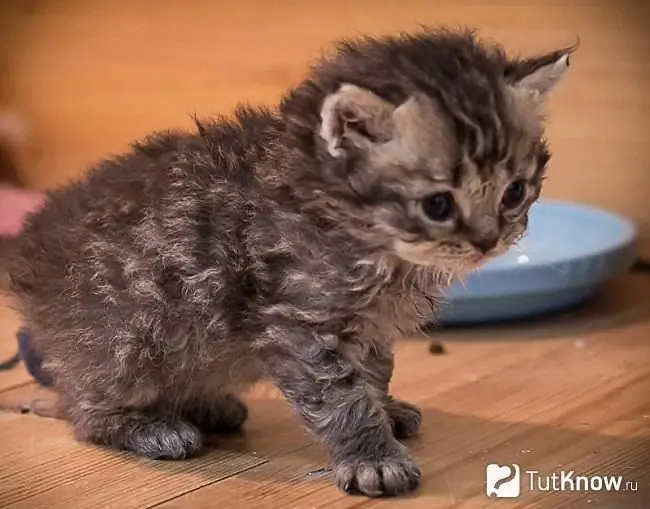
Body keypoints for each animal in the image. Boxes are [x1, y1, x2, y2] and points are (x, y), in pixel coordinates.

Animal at [5, 27, 572, 496]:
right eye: (437, 204)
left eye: (514, 192)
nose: (488, 241)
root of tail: (30, 247)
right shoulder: (300, 323)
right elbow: (341, 398)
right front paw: (372, 457)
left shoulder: (370, 327)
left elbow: (374, 372)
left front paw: (384, 412)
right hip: (128, 341)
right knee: (81, 409)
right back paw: (151, 426)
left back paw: (207, 405)